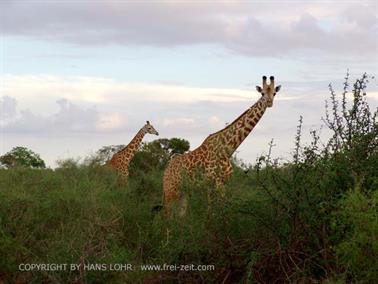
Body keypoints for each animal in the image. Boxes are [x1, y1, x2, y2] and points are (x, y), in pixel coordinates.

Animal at [162, 75, 280, 215]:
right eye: (262, 93)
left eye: (274, 93)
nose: (269, 102)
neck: (227, 149)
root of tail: (166, 171)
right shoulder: (213, 182)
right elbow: (213, 211)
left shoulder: (224, 183)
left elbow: (221, 209)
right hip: (171, 190)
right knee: (168, 215)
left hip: (183, 193)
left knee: (180, 216)